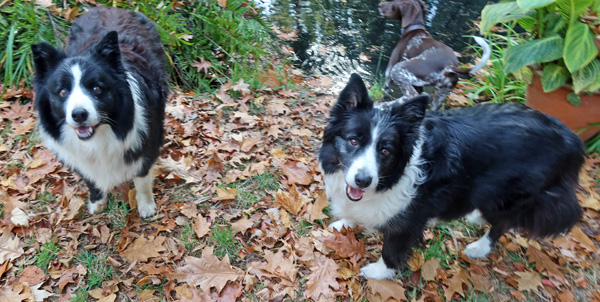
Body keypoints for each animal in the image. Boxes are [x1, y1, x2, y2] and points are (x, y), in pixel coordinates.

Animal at [31, 6, 169, 217]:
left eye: (96, 88)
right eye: (62, 91)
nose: (79, 114)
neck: (99, 138)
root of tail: (111, 7)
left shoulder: (145, 145)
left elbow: (142, 179)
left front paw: (146, 205)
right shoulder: (81, 159)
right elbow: (91, 181)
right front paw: (97, 202)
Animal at [318, 74, 584, 280]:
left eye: (386, 150)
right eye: (353, 140)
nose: (363, 181)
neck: (394, 174)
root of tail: (571, 138)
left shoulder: (408, 220)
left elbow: (392, 249)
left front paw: (379, 272)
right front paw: (345, 223)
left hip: (507, 193)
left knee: (503, 222)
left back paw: (480, 246)